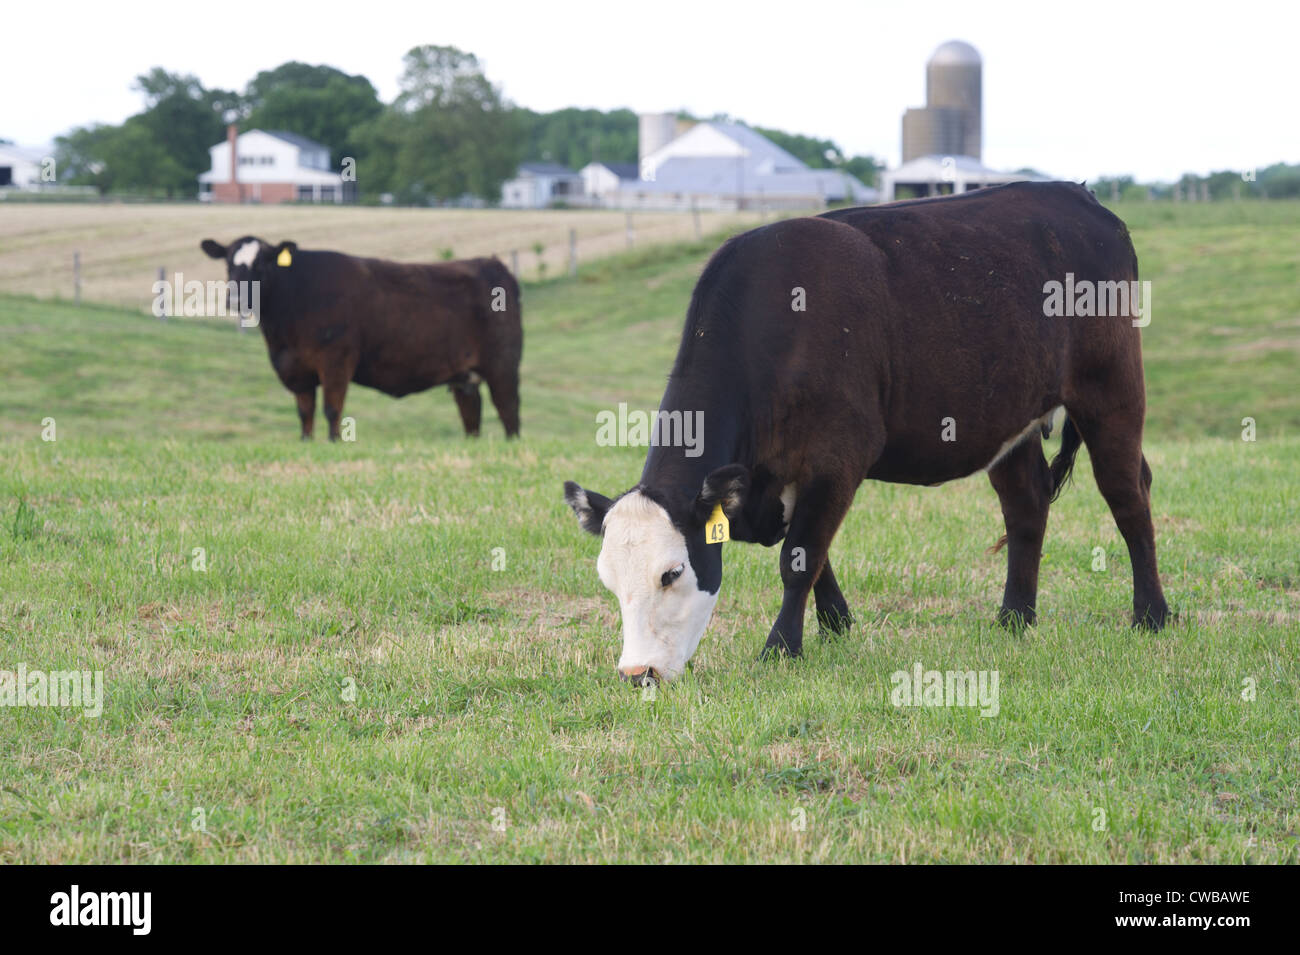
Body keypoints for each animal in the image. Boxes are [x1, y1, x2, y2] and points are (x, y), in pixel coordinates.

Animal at [200, 237, 522, 440]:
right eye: (229, 264)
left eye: (262, 265)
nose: (235, 298)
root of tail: (493, 264)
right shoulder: (297, 370)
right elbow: (305, 413)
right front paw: (306, 441)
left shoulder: (336, 361)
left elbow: (331, 409)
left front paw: (332, 442)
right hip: (463, 377)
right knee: (472, 417)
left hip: (502, 366)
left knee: (509, 411)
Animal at [563, 181, 1170, 684]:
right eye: (608, 581)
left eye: (671, 574)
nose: (637, 673)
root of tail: (1080, 197)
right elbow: (815, 554)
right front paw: (836, 624)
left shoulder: (839, 455)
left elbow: (800, 557)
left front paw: (781, 649)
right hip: (1010, 419)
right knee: (1027, 505)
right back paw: (1015, 618)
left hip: (1111, 388)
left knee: (1127, 493)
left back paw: (1152, 615)